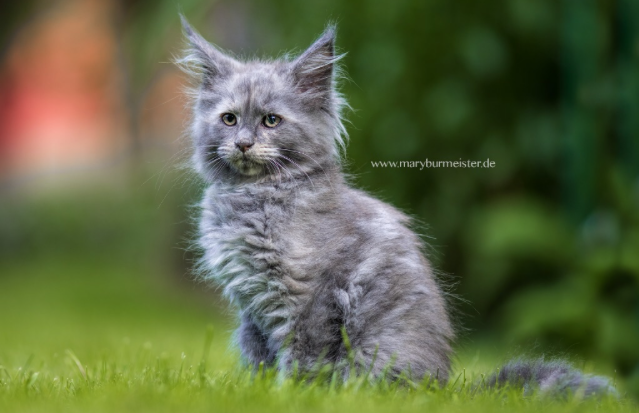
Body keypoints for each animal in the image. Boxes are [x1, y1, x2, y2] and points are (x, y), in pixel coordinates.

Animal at [180, 16, 620, 392]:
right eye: (229, 119)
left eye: (271, 120)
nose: (243, 143)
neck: (256, 196)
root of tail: (444, 387)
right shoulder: (251, 308)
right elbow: (260, 356)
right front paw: (258, 391)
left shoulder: (309, 296)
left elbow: (303, 356)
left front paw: (292, 395)